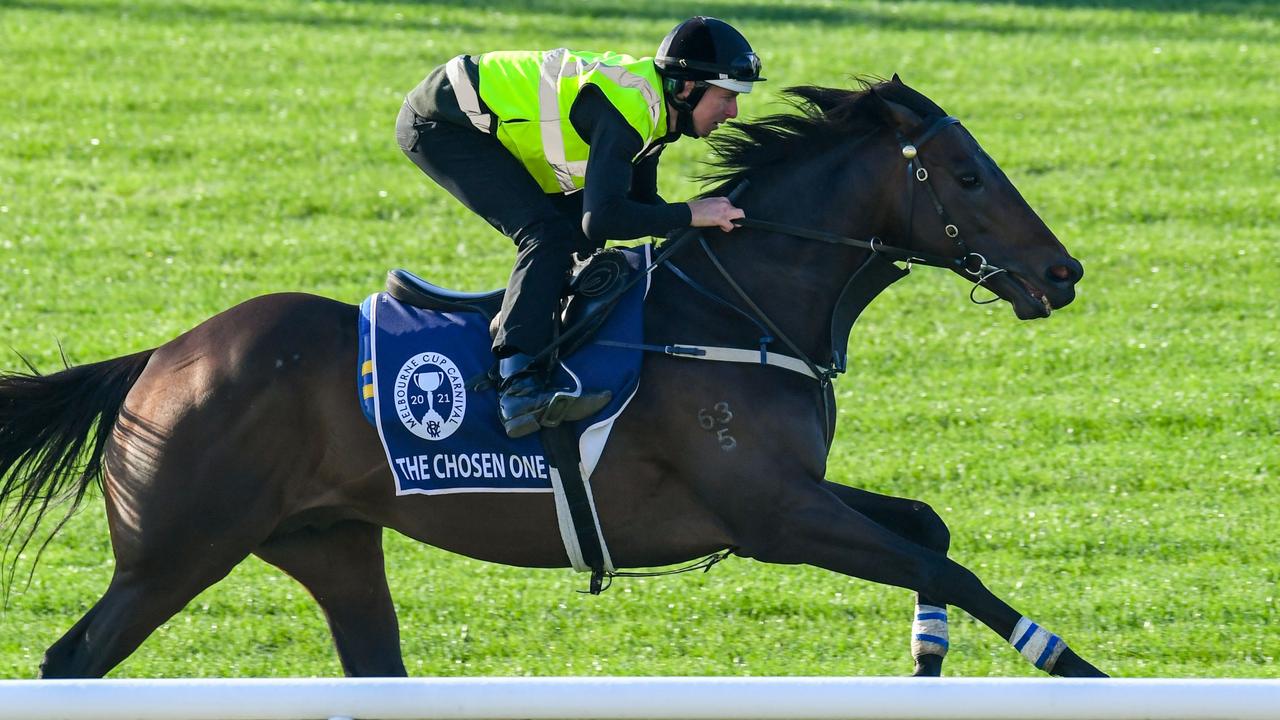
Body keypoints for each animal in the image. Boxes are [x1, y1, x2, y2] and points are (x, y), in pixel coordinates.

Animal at [0, 78, 1100, 676]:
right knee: (70, 659)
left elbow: (928, 528)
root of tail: (160, 362)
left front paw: (928, 652)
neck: (735, 311)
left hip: (329, 543)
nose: (1062, 273)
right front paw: (1069, 660)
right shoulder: (772, 516)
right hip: (175, 555)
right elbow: (945, 566)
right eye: (966, 176)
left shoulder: (793, 493)